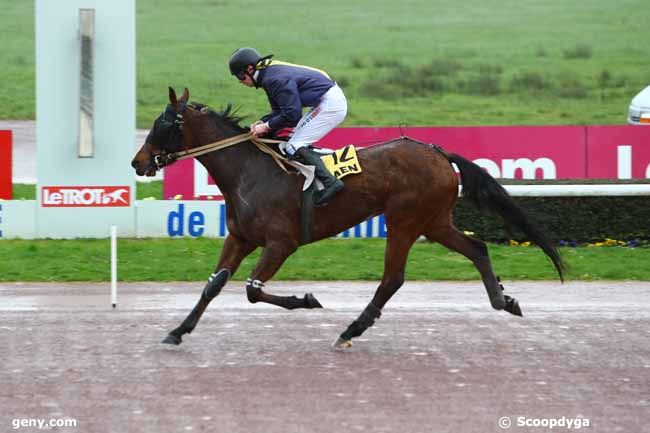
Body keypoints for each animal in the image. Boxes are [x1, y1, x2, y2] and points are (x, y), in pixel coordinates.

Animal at [130, 87, 560, 348]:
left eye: (163, 124)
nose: (137, 162)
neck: (250, 172)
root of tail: (437, 151)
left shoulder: (281, 243)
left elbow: (252, 289)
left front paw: (307, 299)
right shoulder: (240, 237)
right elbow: (212, 285)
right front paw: (178, 331)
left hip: (405, 221)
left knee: (393, 278)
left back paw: (352, 329)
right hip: (435, 221)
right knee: (476, 247)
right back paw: (503, 299)